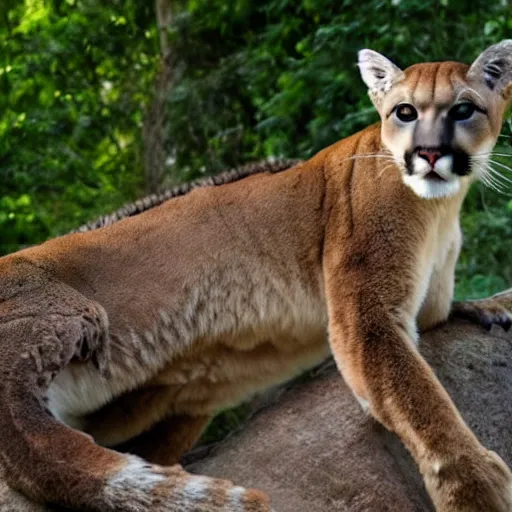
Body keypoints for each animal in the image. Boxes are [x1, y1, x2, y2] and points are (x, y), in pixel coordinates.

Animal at [1, 41, 512, 512]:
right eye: (404, 112)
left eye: (463, 110)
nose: (429, 154)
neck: (440, 208)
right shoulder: (365, 317)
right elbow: (418, 400)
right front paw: (475, 487)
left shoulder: (422, 302)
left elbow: (439, 325)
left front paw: (489, 305)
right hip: (68, 313)